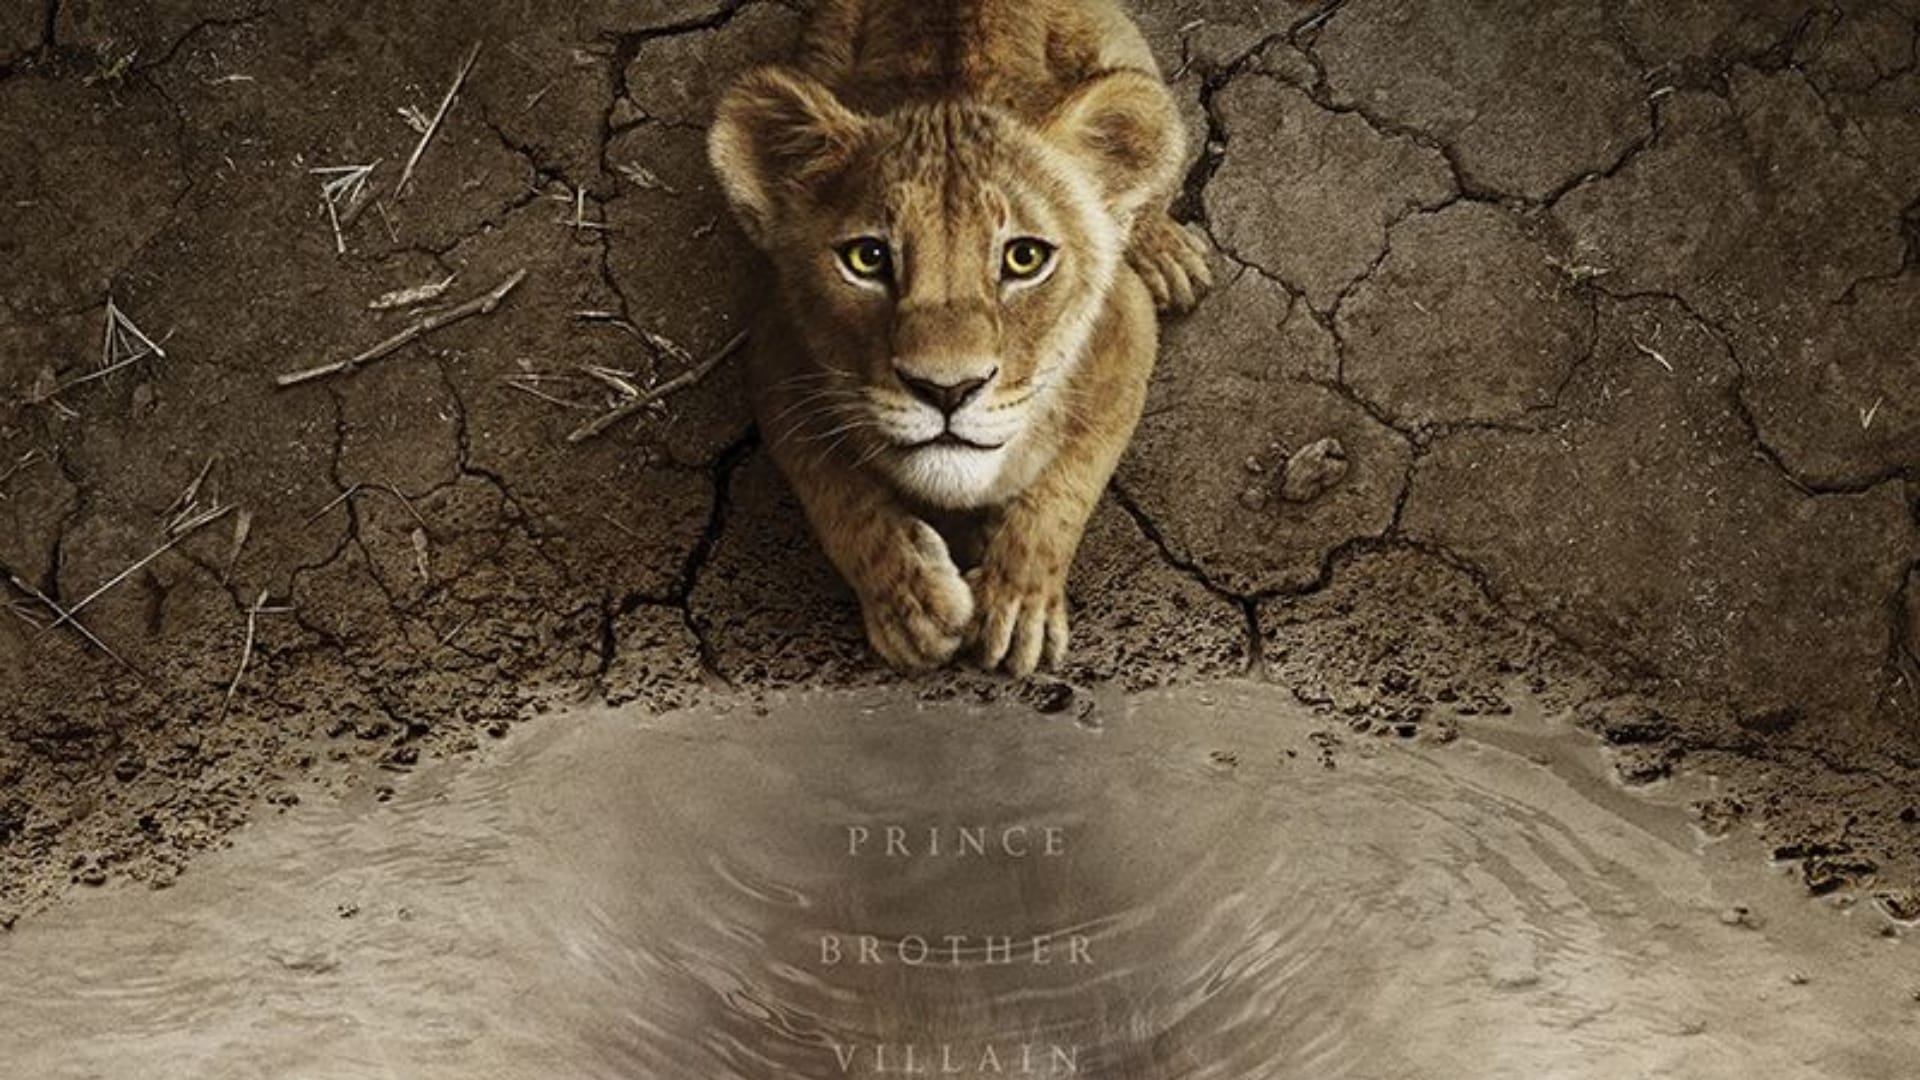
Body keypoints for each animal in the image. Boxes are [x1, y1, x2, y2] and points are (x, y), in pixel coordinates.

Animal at [709, 0, 1210, 675]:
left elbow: (1069, 481)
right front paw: (910, 603)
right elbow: (834, 491)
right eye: (868, 258)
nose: (947, 390)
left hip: (1126, 58)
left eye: (1025, 258)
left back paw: (1165, 253)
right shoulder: (774, 350)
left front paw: (1018, 602)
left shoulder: (1125, 328)